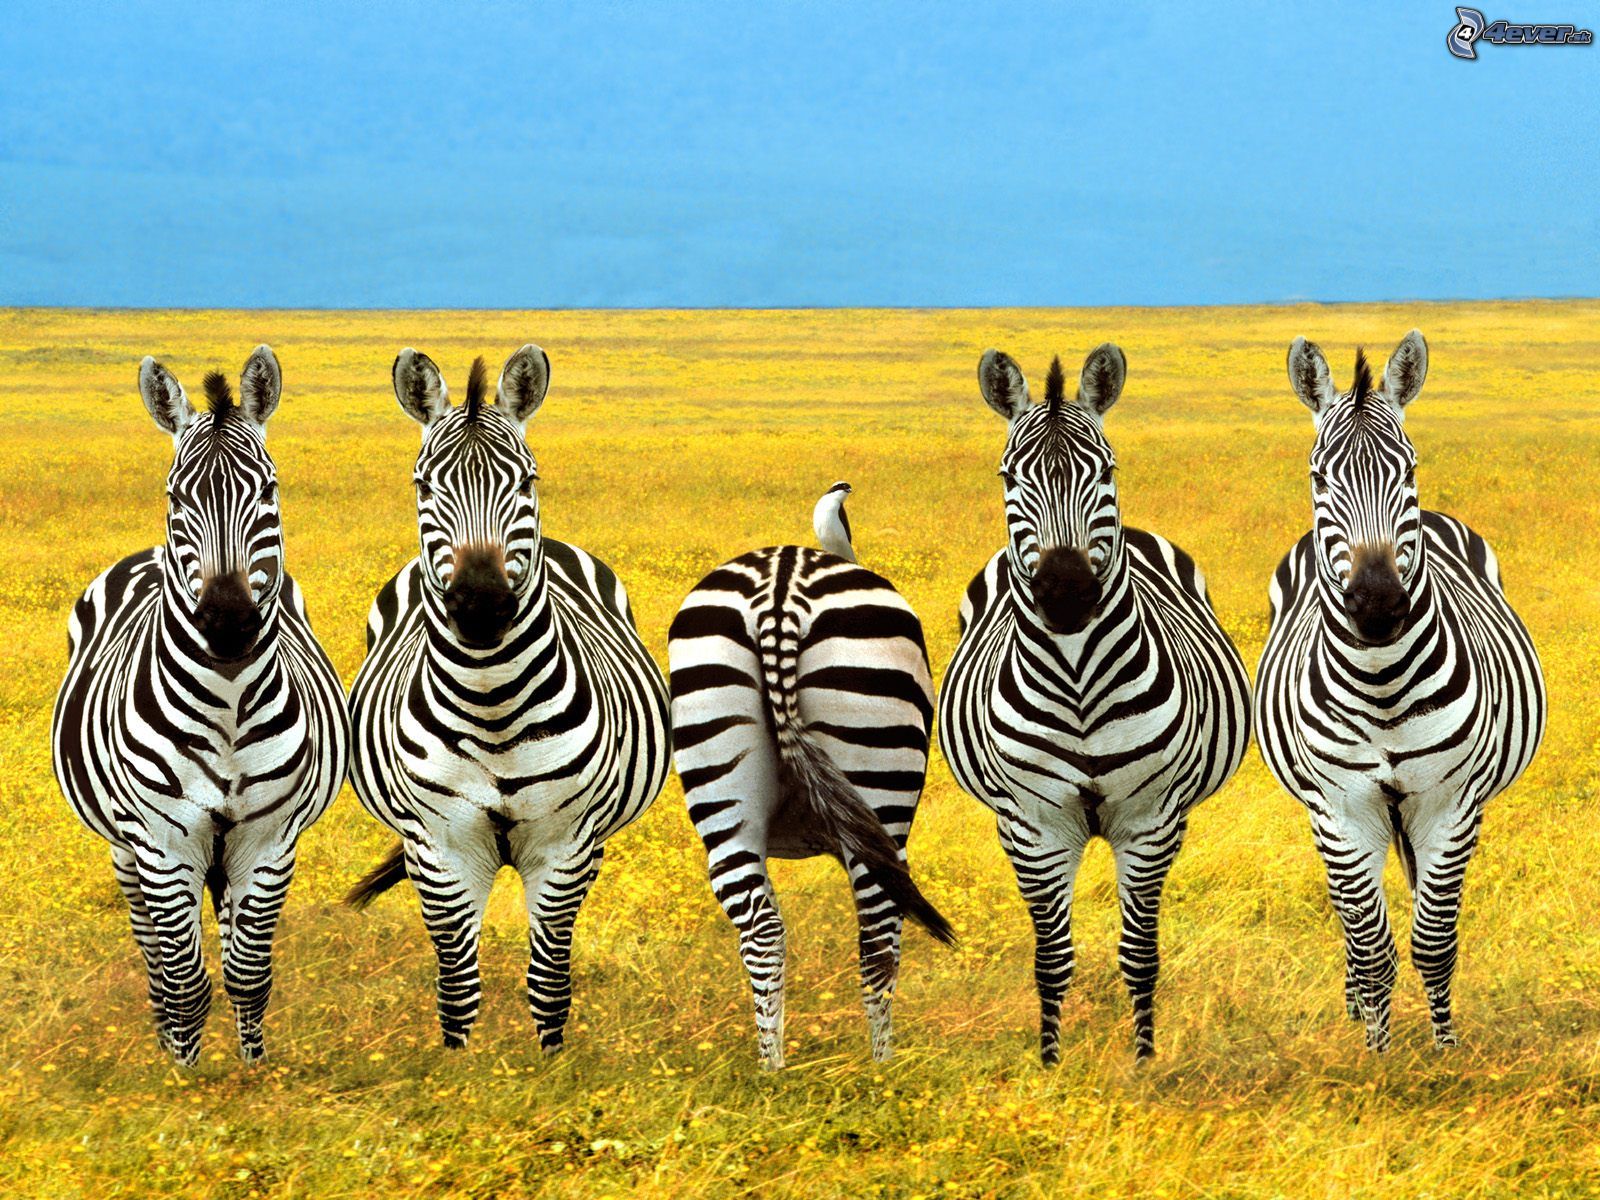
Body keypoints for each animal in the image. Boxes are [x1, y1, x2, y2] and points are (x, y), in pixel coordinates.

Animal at [51, 347, 349, 1066]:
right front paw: (183, 1076)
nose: (228, 620)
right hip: (127, 849)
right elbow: (184, 979)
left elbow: (248, 971)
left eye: (269, 490)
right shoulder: (162, 840)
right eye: (175, 496)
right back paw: (163, 1037)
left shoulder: (269, 839)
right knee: (153, 952)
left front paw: (252, 1072)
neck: (228, 704)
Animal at [343, 345, 671, 1053]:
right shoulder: (441, 847)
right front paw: (458, 1069)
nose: (482, 605)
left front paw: (551, 1067)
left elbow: (549, 979)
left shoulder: (564, 845)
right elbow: (457, 985)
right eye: (422, 487)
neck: (493, 706)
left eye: (528, 480)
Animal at [667, 481, 953, 1068]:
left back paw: (772, 1070)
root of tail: (781, 585)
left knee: (762, 932)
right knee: (878, 934)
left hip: (719, 777)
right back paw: (882, 1069)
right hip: (881, 779)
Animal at [939, 345, 1250, 1062]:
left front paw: (1143, 1061)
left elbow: (1139, 954)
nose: (1066, 592)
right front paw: (1051, 1062)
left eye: (1106, 470)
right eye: (1008, 476)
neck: (1080, 681)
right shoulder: (1033, 825)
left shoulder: (1151, 821)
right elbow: (1052, 958)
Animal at [1256, 330, 1546, 1052]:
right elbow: (1371, 945)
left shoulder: (1451, 804)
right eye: (1319, 477)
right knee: (1349, 915)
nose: (1379, 603)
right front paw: (1377, 1054)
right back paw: (1356, 1006)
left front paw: (1444, 1052)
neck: (1382, 680)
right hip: (1324, 813)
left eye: (1408, 470)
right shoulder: (1342, 807)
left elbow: (1433, 942)